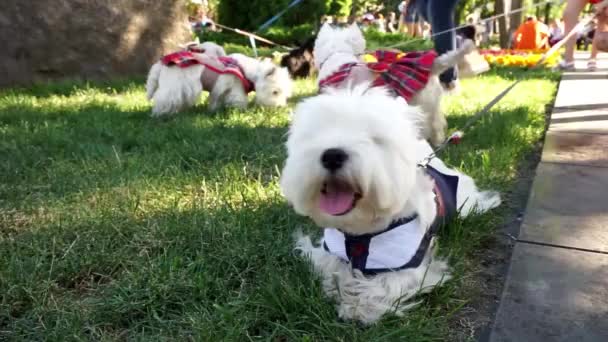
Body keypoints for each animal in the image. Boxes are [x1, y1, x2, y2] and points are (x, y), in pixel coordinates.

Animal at [145, 43, 292, 116]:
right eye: (275, 92)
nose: (280, 107)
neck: (246, 70)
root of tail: (160, 64)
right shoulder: (235, 88)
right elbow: (238, 99)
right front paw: (239, 111)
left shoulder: (220, 90)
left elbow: (216, 100)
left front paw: (214, 110)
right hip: (173, 87)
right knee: (163, 99)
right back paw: (161, 114)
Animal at [282, 85, 502, 324]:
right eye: (316, 136)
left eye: (374, 139)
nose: (332, 155)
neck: (362, 230)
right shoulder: (330, 251)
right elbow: (333, 269)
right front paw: (340, 288)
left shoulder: (406, 263)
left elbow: (383, 284)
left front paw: (359, 307)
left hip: (465, 202)